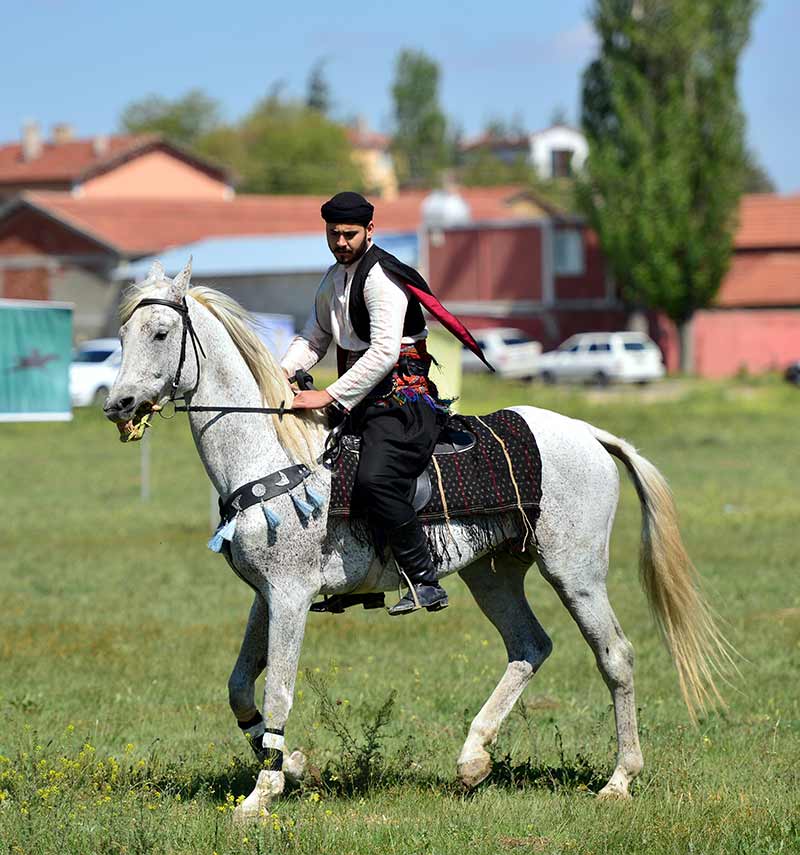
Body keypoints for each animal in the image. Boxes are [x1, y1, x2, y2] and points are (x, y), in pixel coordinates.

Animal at [104, 260, 732, 824]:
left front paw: (261, 796)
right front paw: (294, 765)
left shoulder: (290, 597)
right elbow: (239, 687)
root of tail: (589, 434)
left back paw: (619, 779)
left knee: (615, 656)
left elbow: (278, 689)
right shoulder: (265, 597)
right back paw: (473, 760)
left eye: (160, 334)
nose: (118, 406)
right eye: (124, 335)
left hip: (574, 572)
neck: (274, 453)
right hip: (493, 572)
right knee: (530, 646)